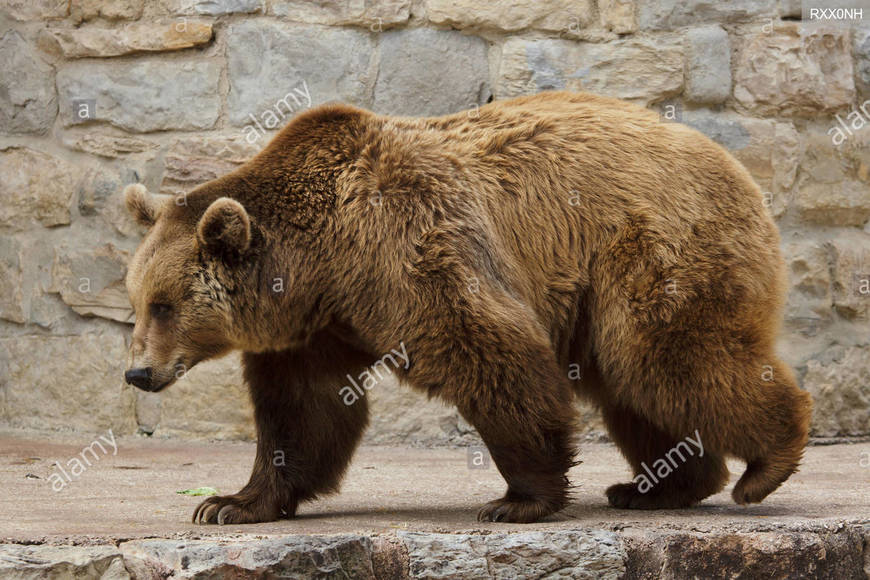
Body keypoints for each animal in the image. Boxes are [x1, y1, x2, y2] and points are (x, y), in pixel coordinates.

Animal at [124, 92, 816, 524]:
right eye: (135, 301)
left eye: (164, 305)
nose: (138, 372)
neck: (318, 263)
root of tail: (735, 169)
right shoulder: (316, 327)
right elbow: (301, 410)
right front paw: (229, 502)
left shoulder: (407, 247)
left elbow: (490, 350)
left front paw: (519, 498)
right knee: (635, 385)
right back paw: (659, 485)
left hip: (650, 250)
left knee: (670, 359)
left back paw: (767, 465)